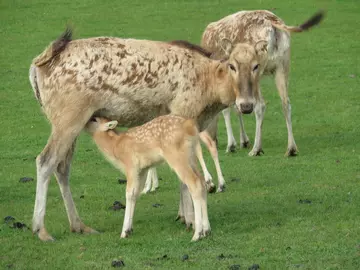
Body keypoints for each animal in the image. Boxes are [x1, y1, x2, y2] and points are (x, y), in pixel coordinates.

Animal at [28, 29, 264, 240]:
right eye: (232, 65)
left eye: (256, 66)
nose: (246, 105)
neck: (210, 95)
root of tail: (36, 65)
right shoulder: (182, 114)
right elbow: (185, 179)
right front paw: (190, 220)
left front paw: (184, 216)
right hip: (68, 119)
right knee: (45, 161)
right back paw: (40, 229)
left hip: (70, 123)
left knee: (62, 167)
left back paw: (79, 225)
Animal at [201, 9, 324, 156]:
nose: (211, 140)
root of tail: (273, 23)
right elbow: (237, 106)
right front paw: (243, 141)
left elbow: (228, 108)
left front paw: (232, 145)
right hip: (282, 65)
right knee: (286, 103)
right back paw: (291, 148)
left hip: (258, 71)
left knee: (260, 105)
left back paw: (256, 149)